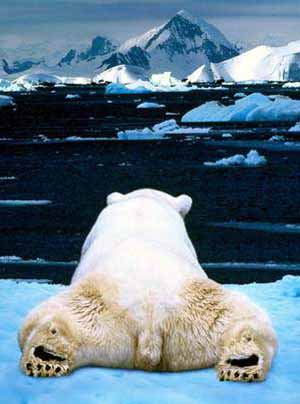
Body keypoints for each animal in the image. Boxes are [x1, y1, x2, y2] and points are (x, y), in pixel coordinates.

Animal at [18, 189, 276, 382]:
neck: (144, 202)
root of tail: (151, 322)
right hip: (202, 322)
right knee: (249, 323)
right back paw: (241, 364)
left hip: (96, 306)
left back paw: (44, 358)